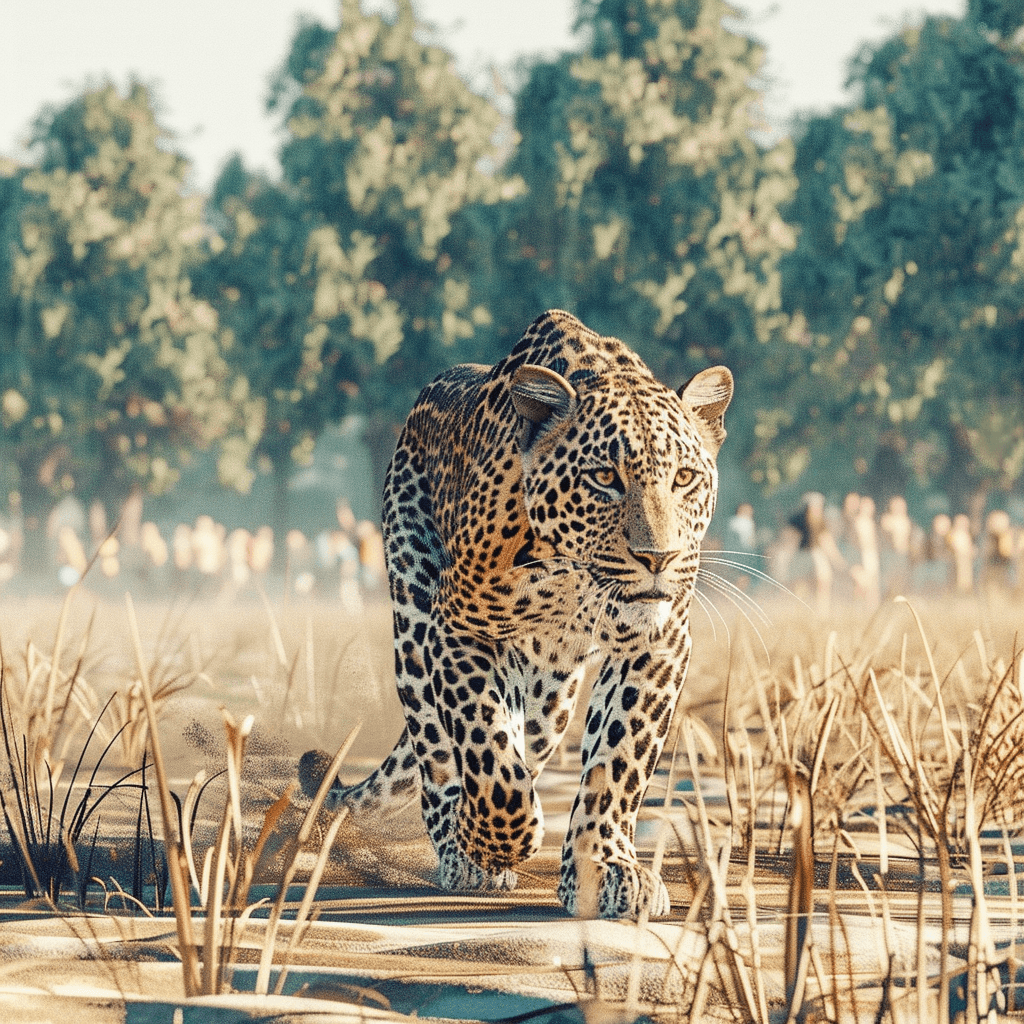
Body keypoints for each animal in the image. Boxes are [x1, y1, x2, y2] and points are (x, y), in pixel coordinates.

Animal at [299, 309, 732, 919]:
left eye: (685, 478)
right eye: (605, 478)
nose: (659, 558)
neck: (572, 576)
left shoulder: (658, 641)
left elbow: (616, 760)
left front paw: (605, 869)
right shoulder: (459, 629)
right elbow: (485, 749)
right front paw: (499, 840)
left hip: (548, 703)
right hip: (414, 623)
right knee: (436, 750)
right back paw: (461, 851)